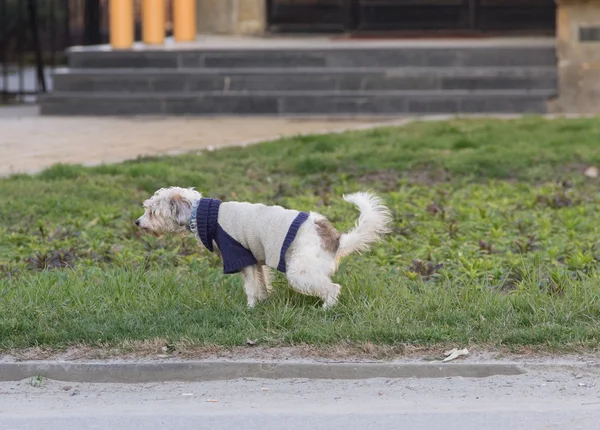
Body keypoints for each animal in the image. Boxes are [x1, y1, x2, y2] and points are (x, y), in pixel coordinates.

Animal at [136, 186, 392, 308]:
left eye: (152, 211)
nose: (137, 223)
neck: (202, 214)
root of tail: (336, 239)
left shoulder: (240, 255)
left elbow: (251, 288)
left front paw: (250, 309)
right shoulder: (255, 260)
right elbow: (261, 284)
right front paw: (263, 302)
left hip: (300, 273)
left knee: (333, 288)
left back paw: (326, 309)